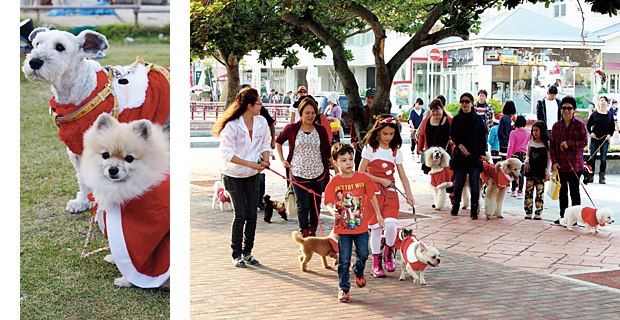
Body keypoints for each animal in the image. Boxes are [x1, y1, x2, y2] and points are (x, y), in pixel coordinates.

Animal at [22, 26, 170, 212]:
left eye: (60, 47)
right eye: (36, 44)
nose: (34, 62)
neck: (77, 94)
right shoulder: (76, 149)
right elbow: (83, 178)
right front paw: (82, 202)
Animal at [81, 113, 172, 290]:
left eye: (129, 158)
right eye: (105, 155)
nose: (113, 170)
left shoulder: (140, 235)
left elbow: (138, 263)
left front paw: (125, 280)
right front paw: (112, 257)